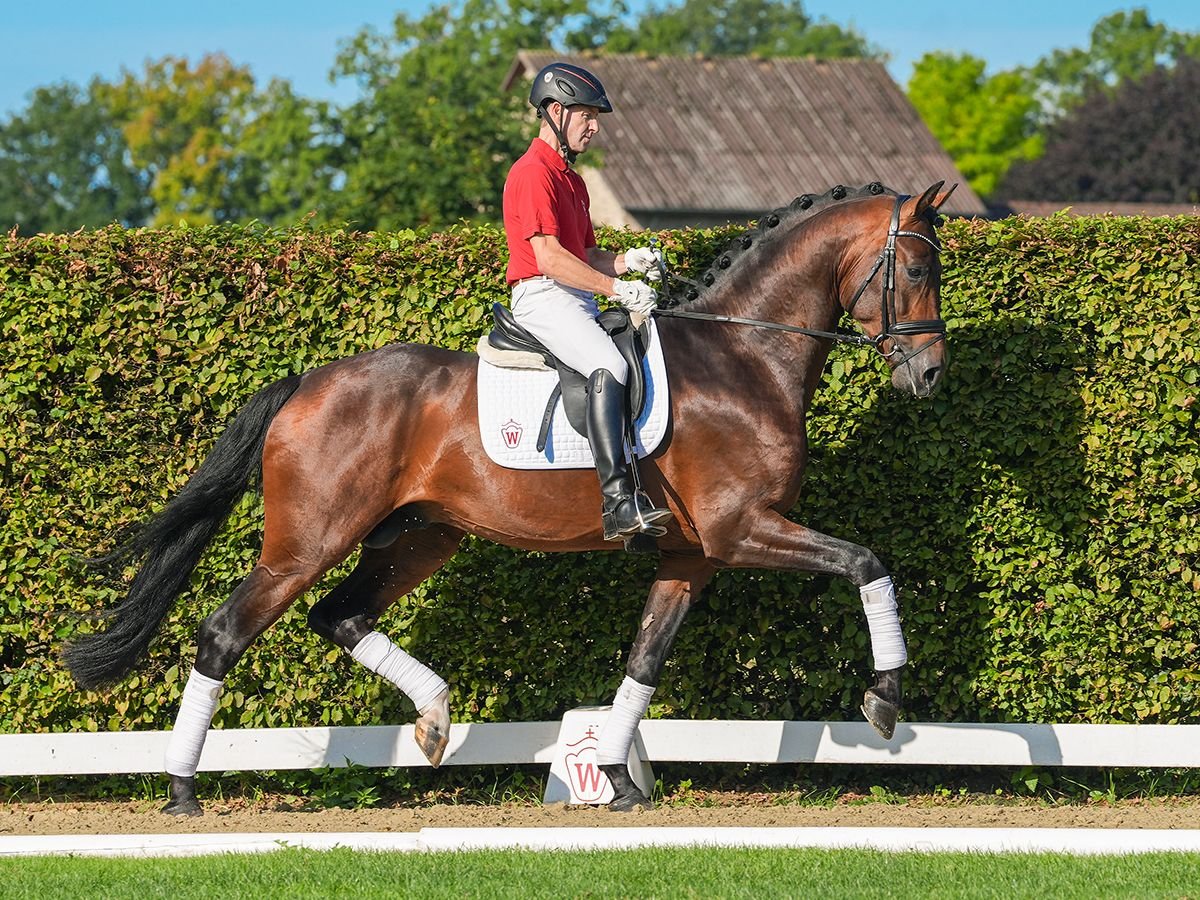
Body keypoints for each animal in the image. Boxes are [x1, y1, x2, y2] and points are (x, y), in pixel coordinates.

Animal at [63, 180, 955, 816]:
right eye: (915, 271)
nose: (929, 376)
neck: (746, 355)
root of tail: (308, 383)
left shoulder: (692, 555)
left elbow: (643, 660)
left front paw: (614, 778)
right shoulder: (744, 530)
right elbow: (867, 562)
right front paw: (884, 702)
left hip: (419, 536)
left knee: (339, 616)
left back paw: (433, 719)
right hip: (306, 542)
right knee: (225, 633)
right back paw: (182, 789)